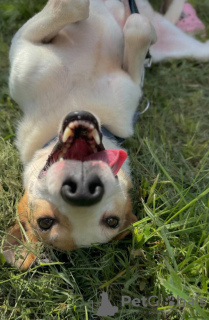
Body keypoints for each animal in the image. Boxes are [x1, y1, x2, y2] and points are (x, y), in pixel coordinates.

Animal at [2, 0, 157, 270]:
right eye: (45, 222)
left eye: (112, 221)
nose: (83, 191)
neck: (78, 101)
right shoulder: (25, 43)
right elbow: (76, 8)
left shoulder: (131, 85)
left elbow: (138, 27)